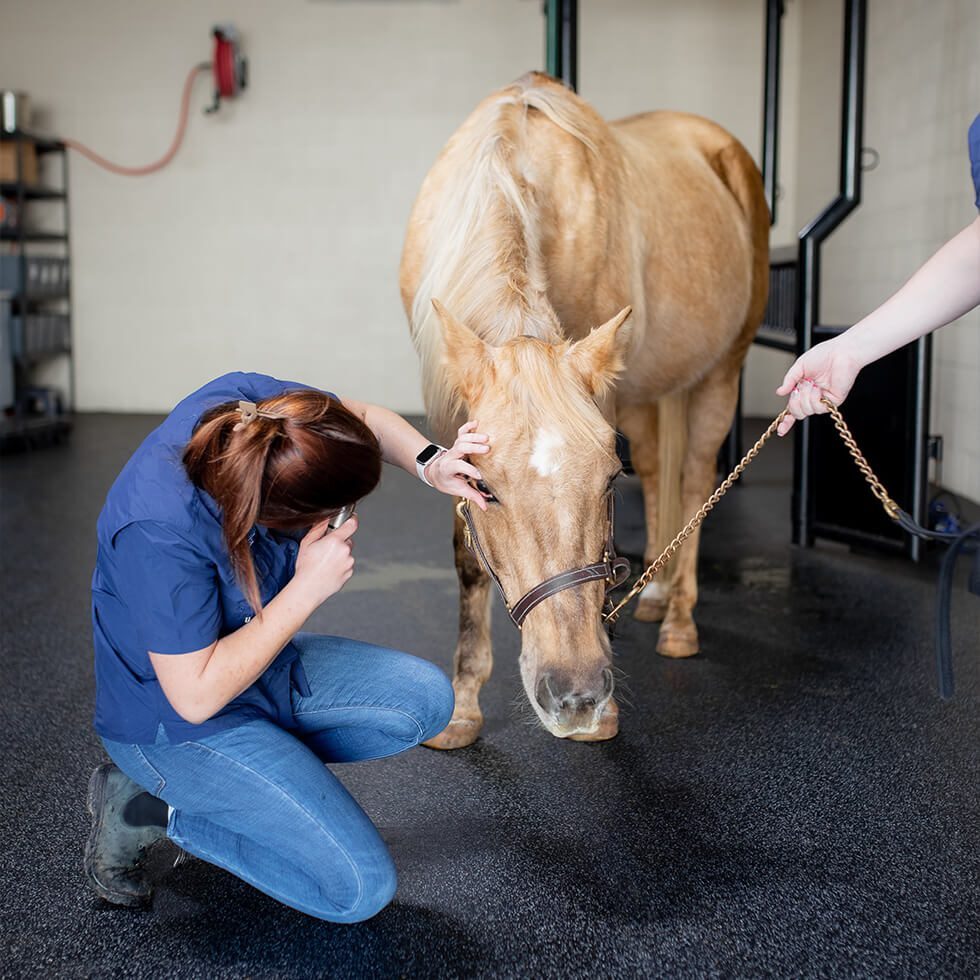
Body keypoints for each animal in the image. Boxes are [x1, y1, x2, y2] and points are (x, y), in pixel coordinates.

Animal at [399, 72, 769, 748]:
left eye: (606, 481)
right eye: (485, 487)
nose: (577, 698)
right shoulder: (447, 415)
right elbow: (466, 557)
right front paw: (462, 706)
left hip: (721, 373)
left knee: (697, 477)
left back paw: (678, 619)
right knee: (662, 470)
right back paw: (655, 596)